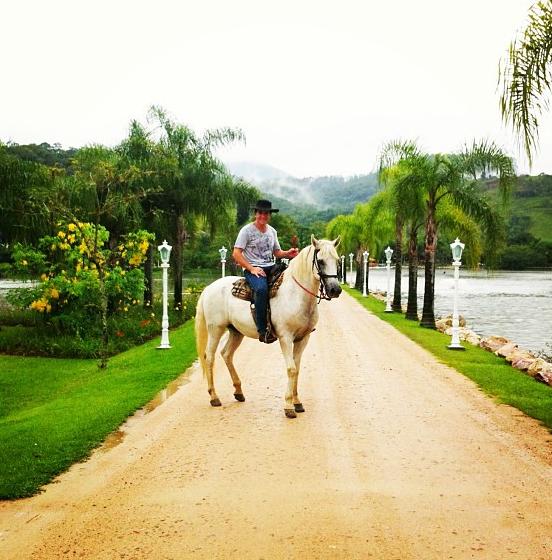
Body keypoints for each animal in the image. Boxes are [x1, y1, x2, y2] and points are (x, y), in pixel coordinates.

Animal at [194, 234, 340, 418]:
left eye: (337, 260)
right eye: (320, 261)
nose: (335, 289)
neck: (296, 295)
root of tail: (208, 288)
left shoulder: (303, 339)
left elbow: (297, 369)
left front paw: (297, 402)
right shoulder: (286, 338)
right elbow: (291, 369)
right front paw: (289, 406)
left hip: (236, 331)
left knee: (226, 354)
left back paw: (238, 392)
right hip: (215, 329)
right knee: (210, 357)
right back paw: (214, 397)